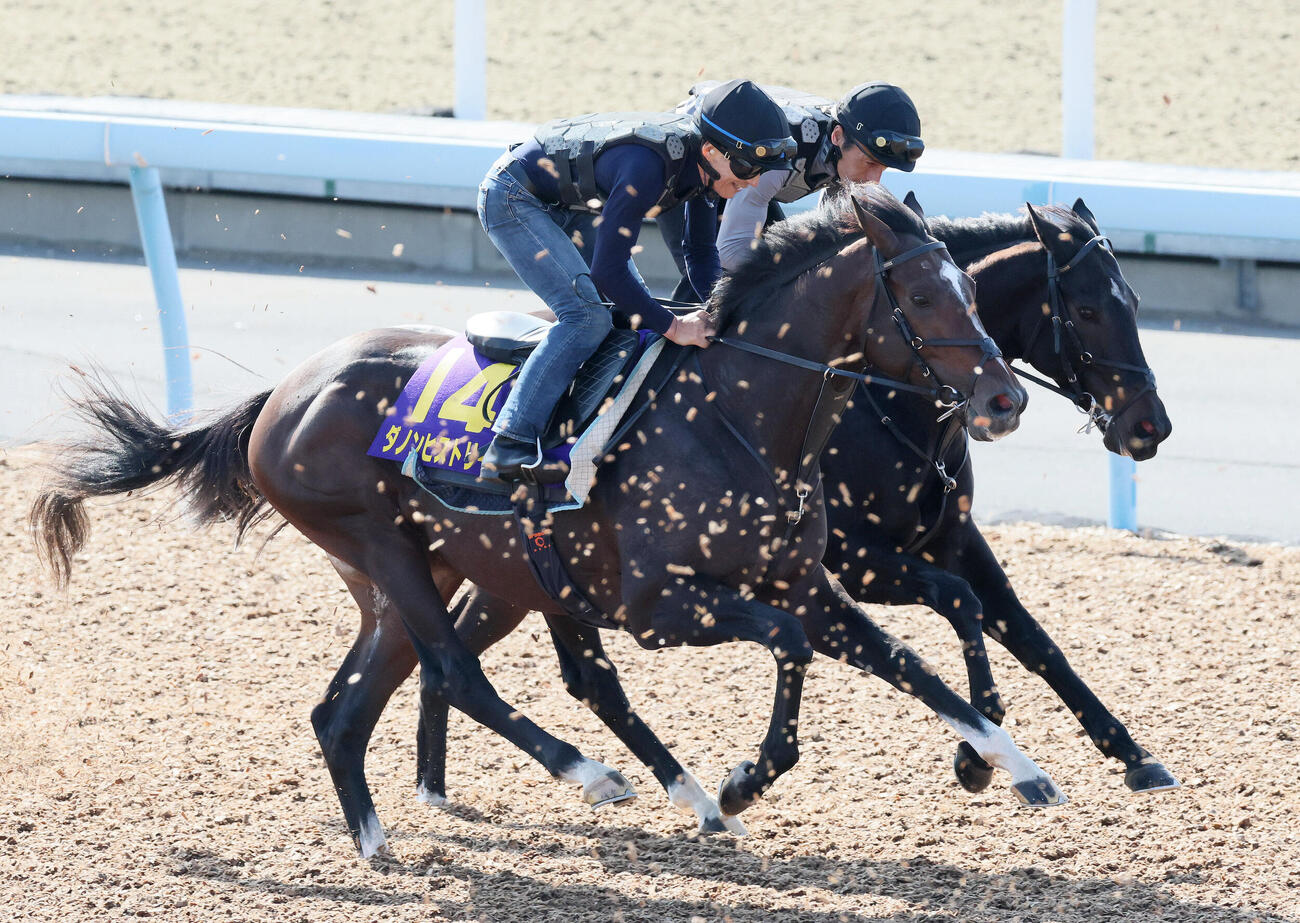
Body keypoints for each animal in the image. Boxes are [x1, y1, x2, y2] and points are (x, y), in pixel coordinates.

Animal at [30, 185, 1063, 861]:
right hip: (384, 545)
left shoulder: (806, 581)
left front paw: (1017, 767)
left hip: (432, 572)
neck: (738, 414)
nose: (1006, 399)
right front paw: (746, 775)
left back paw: (379, 839)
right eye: (922, 296)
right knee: (457, 671)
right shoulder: (661, 606)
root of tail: (283, 392)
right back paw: (600, 776)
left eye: (974, 292)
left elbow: (912, 663)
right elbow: (792, 646)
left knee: (346, 705)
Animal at [411, 196, 1178, 813]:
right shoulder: (860, 557)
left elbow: (1026, 632)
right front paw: (975, 755)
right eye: (1086, 309)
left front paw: (1129, 754)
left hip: (518, 571)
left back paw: (435, 780)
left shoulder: (950, 536)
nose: (1150, 425)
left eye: (1137, 304)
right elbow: (959, 602)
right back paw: (439, 783)